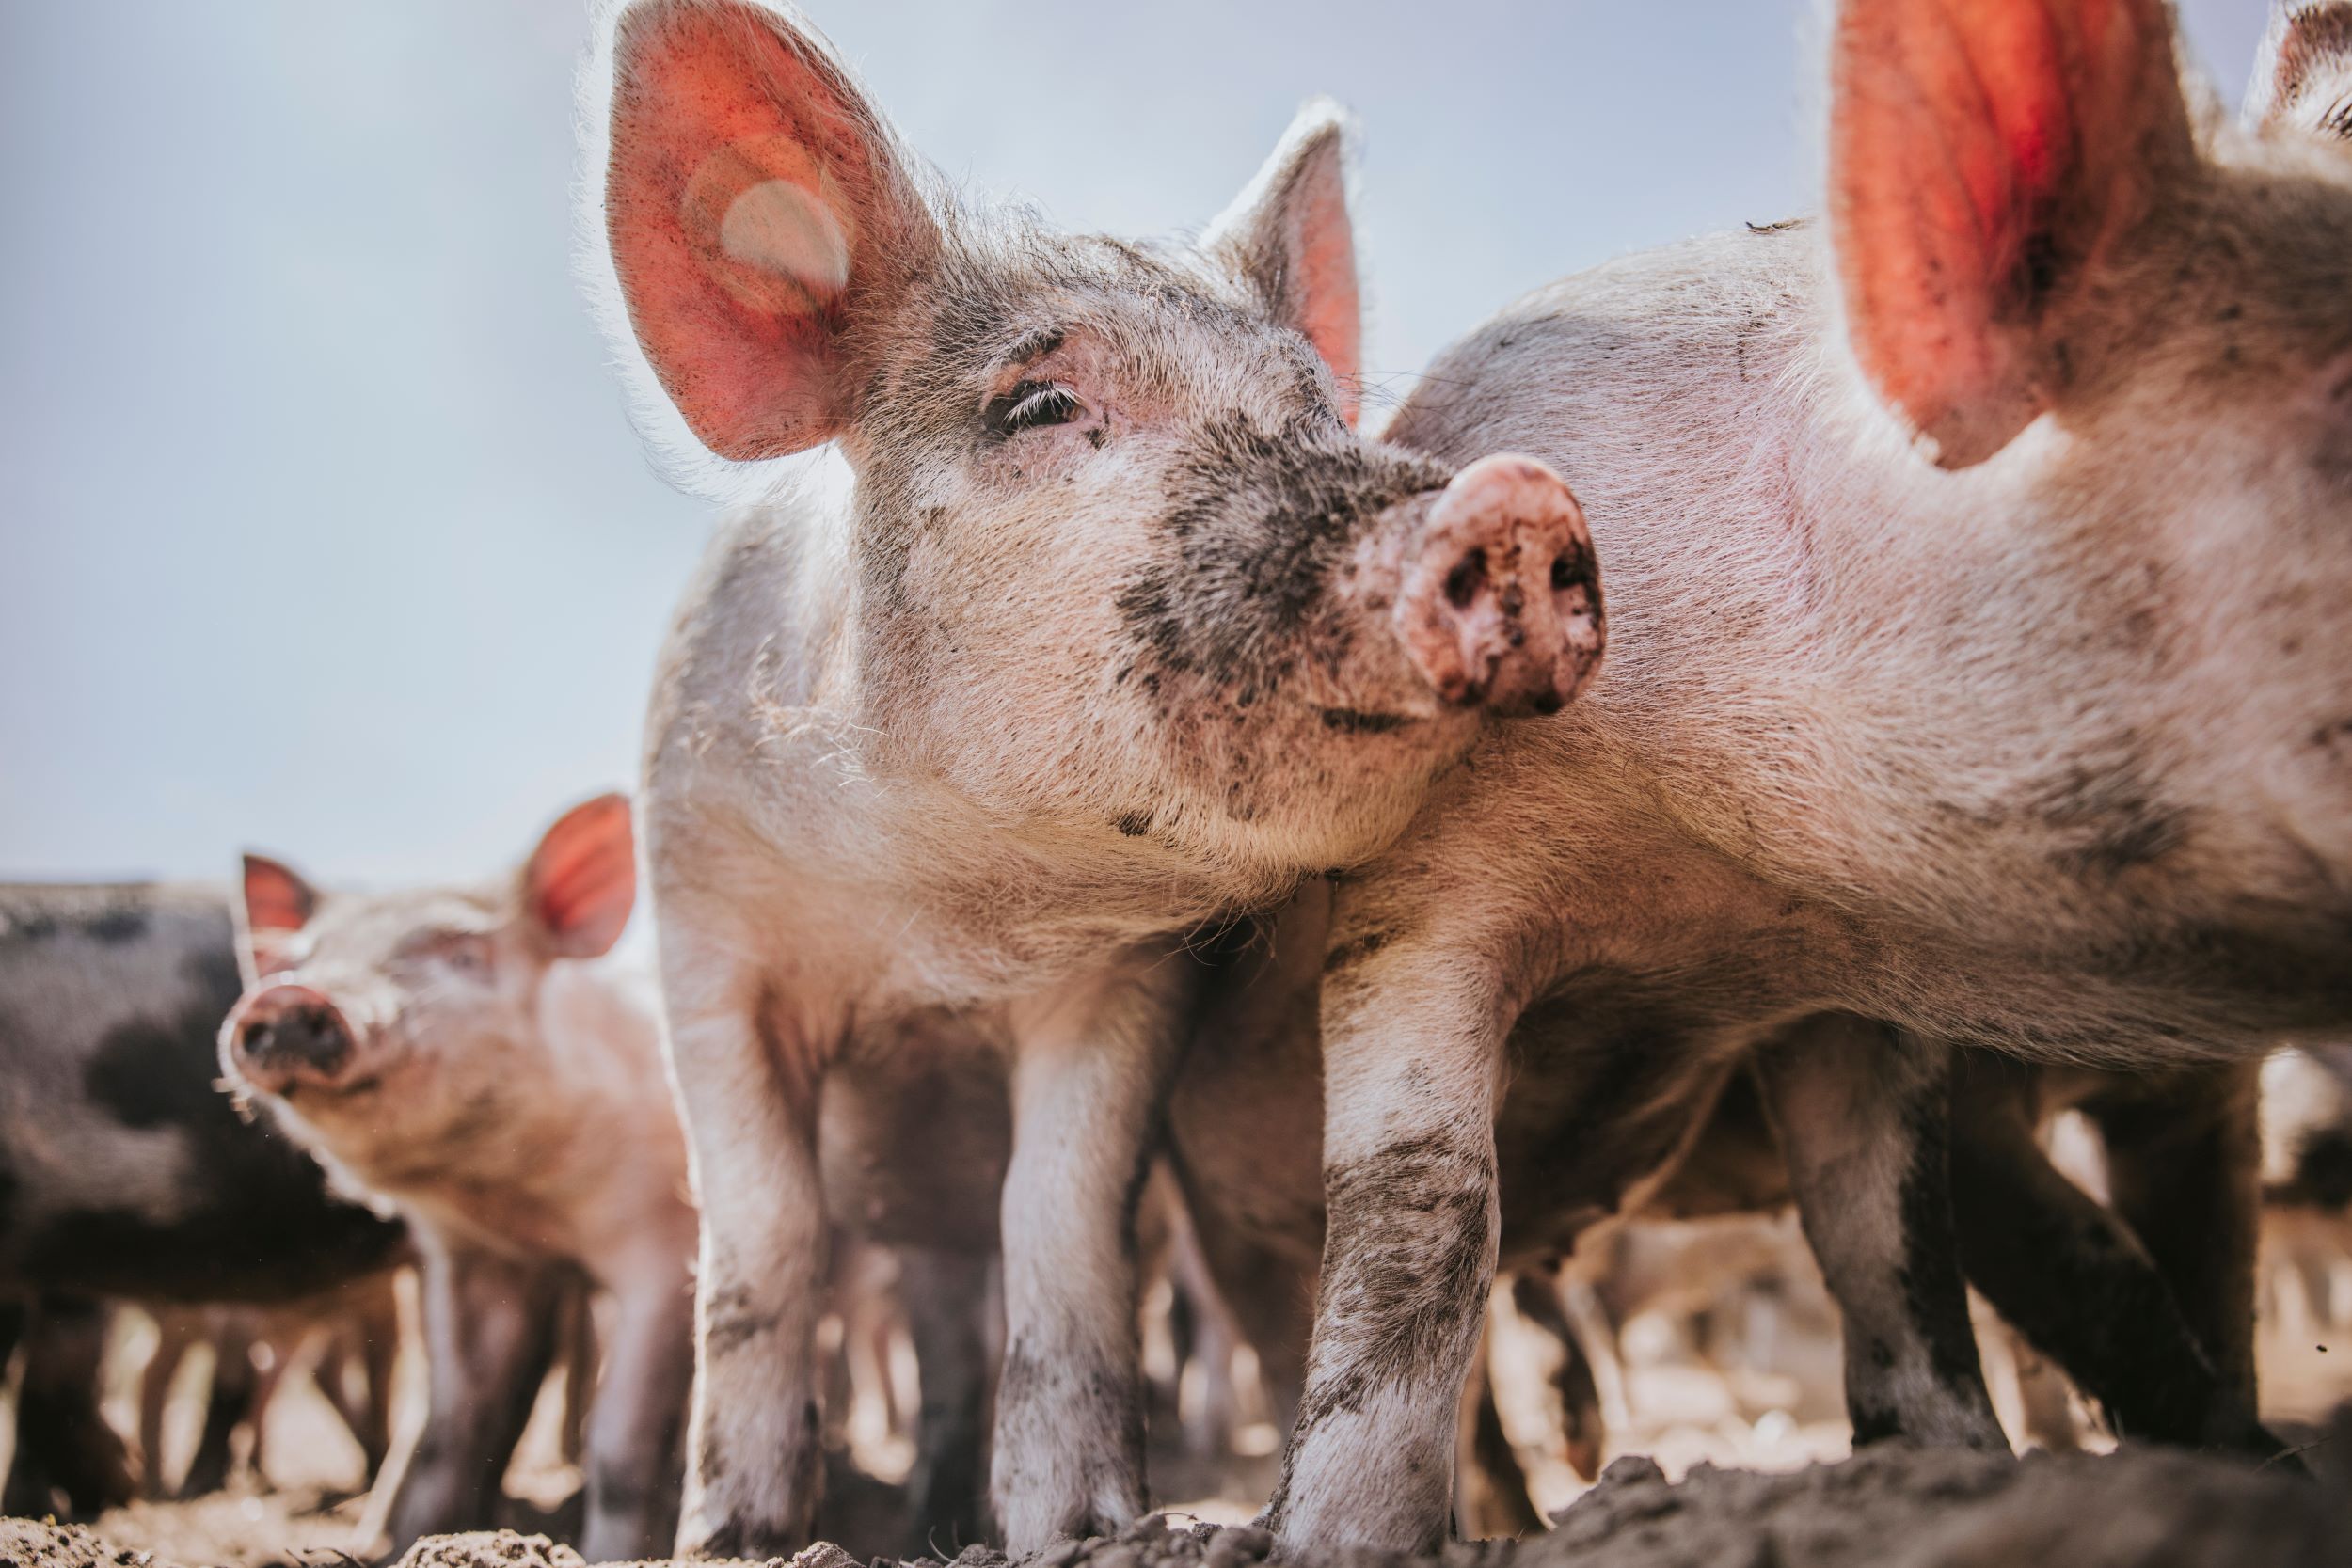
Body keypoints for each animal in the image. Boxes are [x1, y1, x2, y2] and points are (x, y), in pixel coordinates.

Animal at [217, 795, 699, 1562]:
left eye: (464, 953)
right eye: (300, 958)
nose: (289, 996)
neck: (512, 1194)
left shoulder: (664, 1248)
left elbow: (621, 1440)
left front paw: (609, 1552)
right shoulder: (471, 1260)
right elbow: (454, 1426)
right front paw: (411, 1543)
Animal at [579, 0, 1603, 1554]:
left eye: (1320, 409)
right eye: (1039, 401)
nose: (1520, 494)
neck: (930, 922)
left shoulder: (1130, 978)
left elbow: (1059, 1218)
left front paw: (1081, 1526)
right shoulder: (704, 943)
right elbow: (763, 1241)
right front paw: (740, 1539)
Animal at [1241, 0, 2352, 1549]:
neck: (1697, 909)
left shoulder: (1879, 1002)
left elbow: (1935, 1232)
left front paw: (2045, 1466)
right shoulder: (1421, 883)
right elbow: (1425, 1210)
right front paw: (1341, 1539)